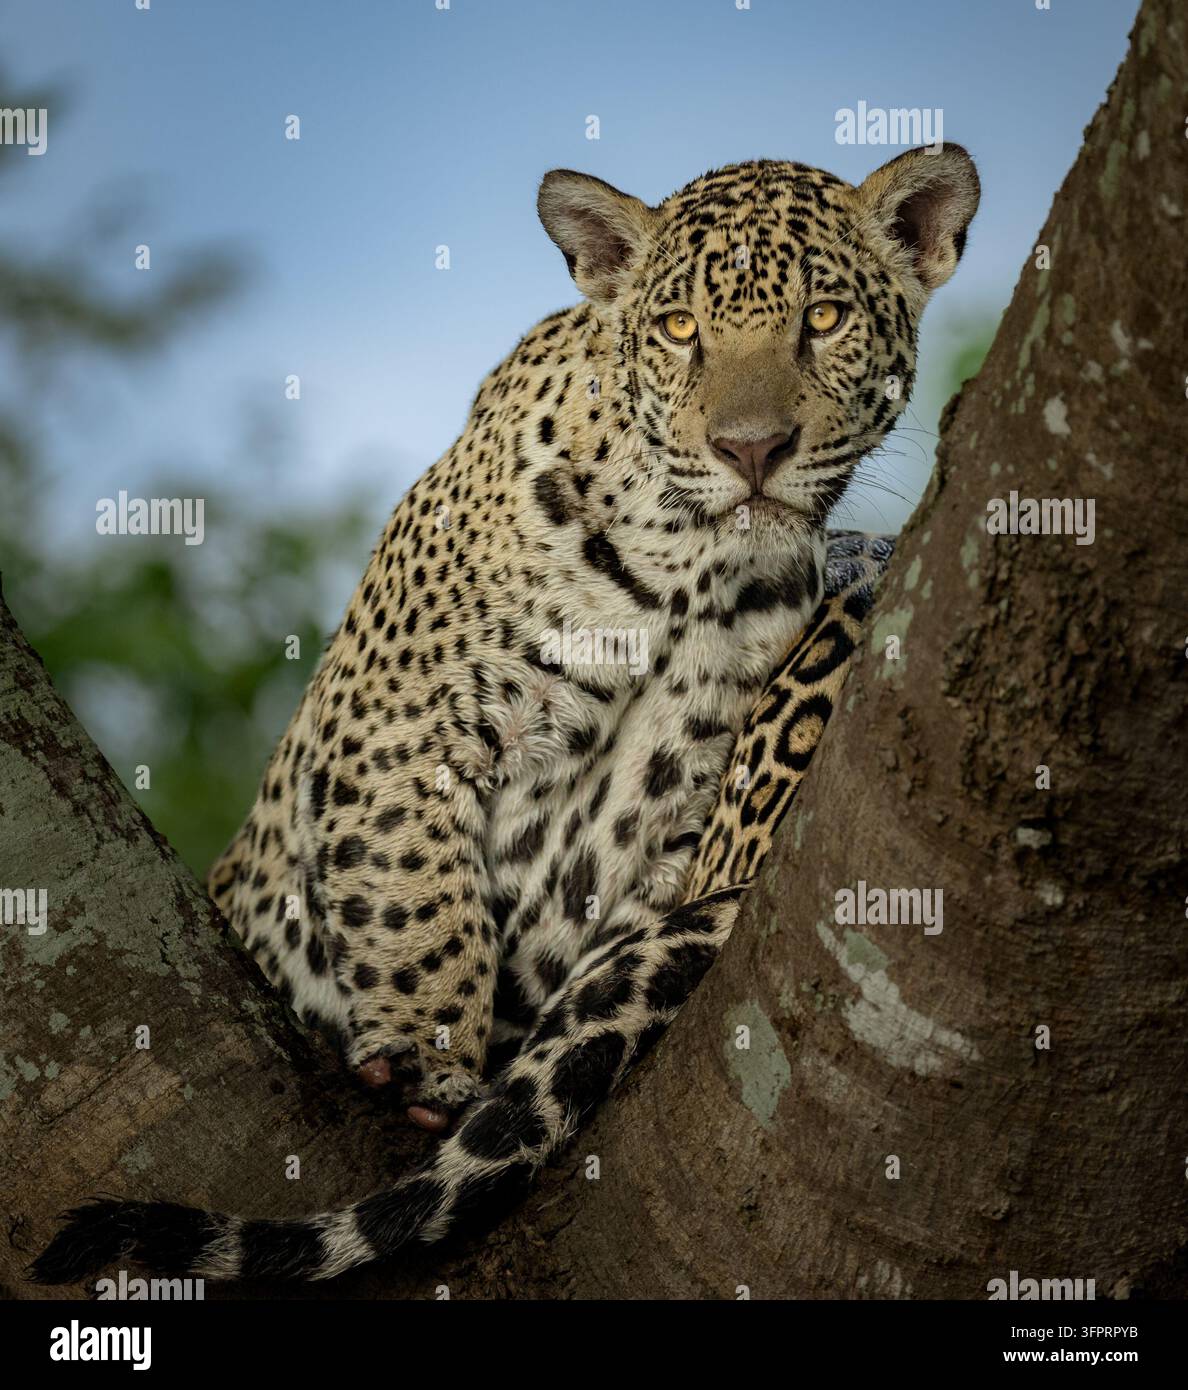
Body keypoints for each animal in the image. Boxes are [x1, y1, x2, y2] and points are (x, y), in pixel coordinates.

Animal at [32, 142, 978, 1287]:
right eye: (679, 329)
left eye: (826, 318)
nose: (752, 448)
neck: (692, 573)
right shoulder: (400, 705)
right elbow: (411, 882)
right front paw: (424, 1059)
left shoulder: (674, 827)